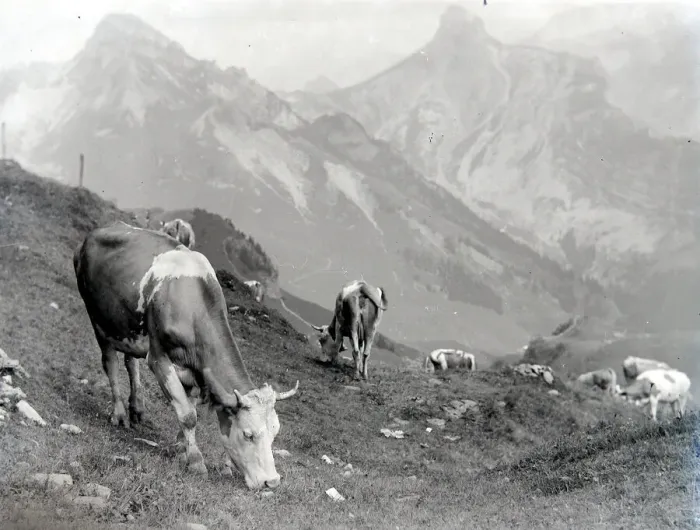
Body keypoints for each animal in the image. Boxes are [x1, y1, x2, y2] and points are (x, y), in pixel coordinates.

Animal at [73, 221, 299, 490]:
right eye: (248, 434)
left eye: (275, 432)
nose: (271, 482)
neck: (192, 305)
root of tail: (97, 232)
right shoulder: (159, 358)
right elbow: (189, 415)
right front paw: (195, 460)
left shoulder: (193, 370)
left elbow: (188, 407)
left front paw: (181, 446)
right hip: (98, 319)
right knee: (111, 363)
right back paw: (119, 413)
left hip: (130, 327)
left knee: (130, 362)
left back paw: (137, 407)